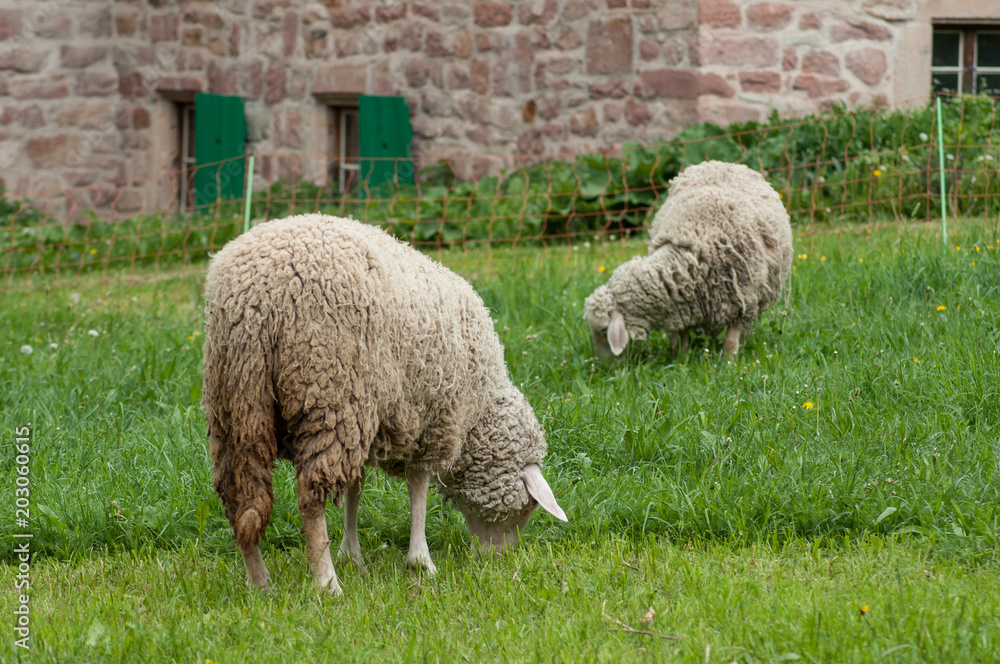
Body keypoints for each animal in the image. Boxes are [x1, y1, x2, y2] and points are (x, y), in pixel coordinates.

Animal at [202, 213, 567, 594]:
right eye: (526, 508)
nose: (498, 560)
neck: (478, 411)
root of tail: (256, 297)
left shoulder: (368, 417)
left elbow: (355, 488)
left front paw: (353, 554)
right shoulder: (432, 420)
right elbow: (418, 488)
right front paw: (420, 561)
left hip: (236, 402)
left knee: (240, 497)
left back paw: (259, 581)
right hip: (329, 393)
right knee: (310, 499)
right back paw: (327, 582)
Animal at [585, 160, 792, 358]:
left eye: (603, 329)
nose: (604, 366)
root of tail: (721, 163)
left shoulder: (743, 300)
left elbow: (731, 342)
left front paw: (729, 363)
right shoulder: (681, 308)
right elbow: (681, 341)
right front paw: (680, 361)